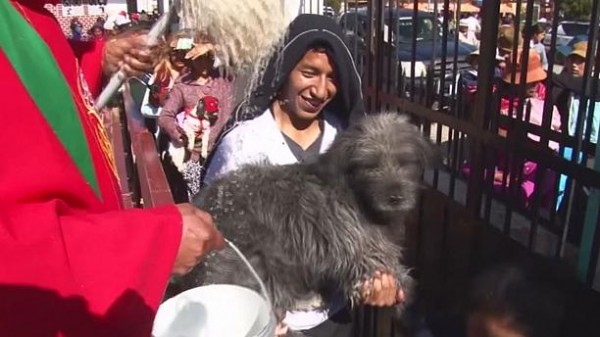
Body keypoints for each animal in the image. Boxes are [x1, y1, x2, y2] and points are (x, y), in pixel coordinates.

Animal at [184, 112, 436, 318]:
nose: (396, 198)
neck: (354, 192)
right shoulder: (355, 243)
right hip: (251, 260)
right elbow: (376, 262)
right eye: (370, 165)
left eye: (405, 162)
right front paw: (403, 288)